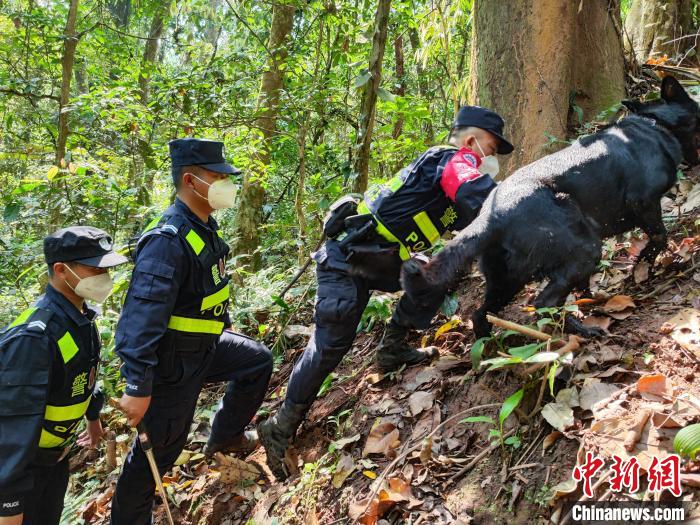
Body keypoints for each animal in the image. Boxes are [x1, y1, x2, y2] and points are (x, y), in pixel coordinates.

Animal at [402, 77, 696, 340]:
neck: (655, 123)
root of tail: (490, 217)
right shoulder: (643, 201)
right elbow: (659, 236)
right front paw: (643, 266)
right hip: (584, 250)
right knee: (544, 303)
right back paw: (580, 331)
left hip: (506, 280)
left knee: (480, 313)